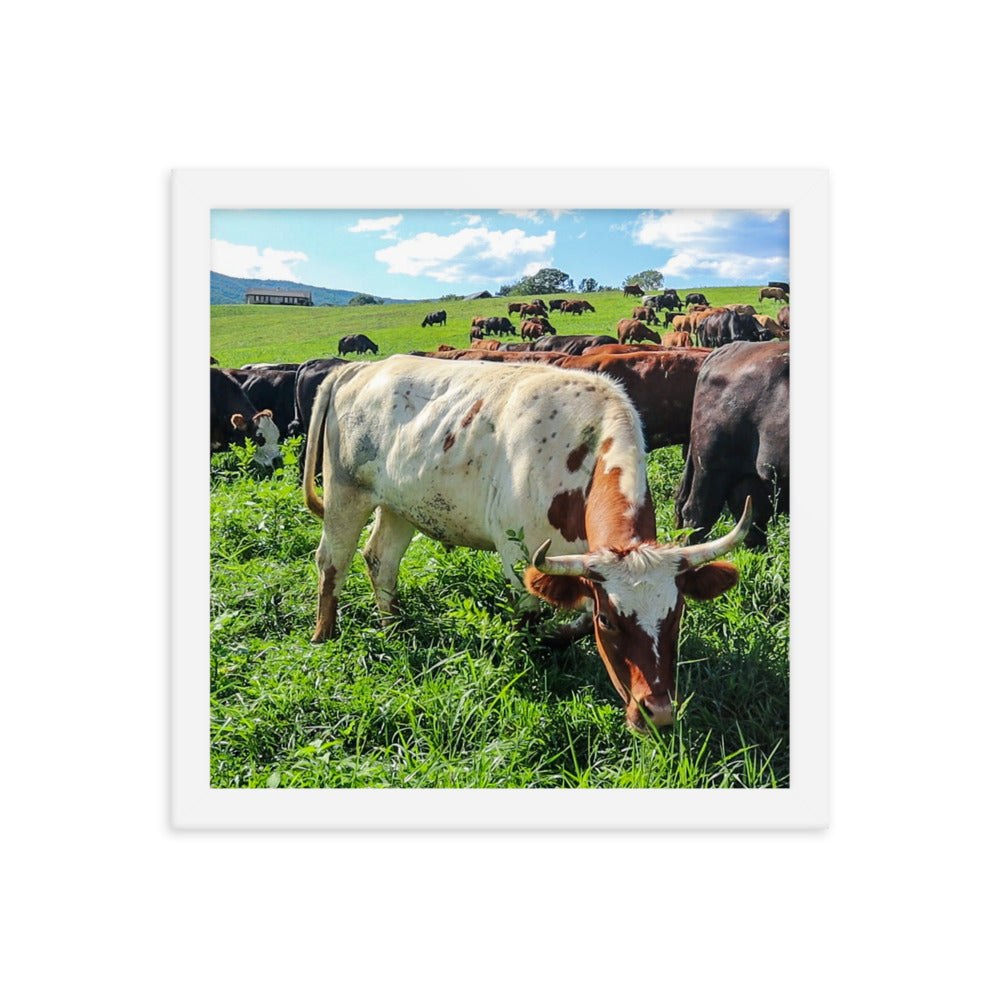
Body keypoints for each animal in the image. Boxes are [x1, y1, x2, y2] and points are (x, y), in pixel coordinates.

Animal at [303, 354, 752, 731]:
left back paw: (393, 627)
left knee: (381, 560)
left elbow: (575, 620)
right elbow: (530, 619)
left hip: (399, 506)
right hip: (345, 494)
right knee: (331, 562)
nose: (657, 713)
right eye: (610, 621)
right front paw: (531, 656)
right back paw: (324, 636)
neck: (581, 453)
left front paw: (558, 637)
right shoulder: (519, 556)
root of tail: (360, 368)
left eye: (677, 615)